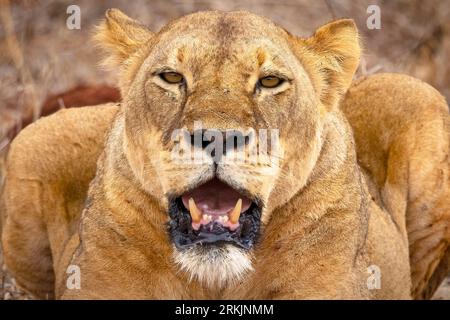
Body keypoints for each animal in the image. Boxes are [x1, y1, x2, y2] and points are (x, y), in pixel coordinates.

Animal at [0, 10, 450, 300]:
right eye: (171, 77)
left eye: (270, 81)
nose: (217, 138)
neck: (214, 279)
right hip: (32, 141)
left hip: (419, 95)